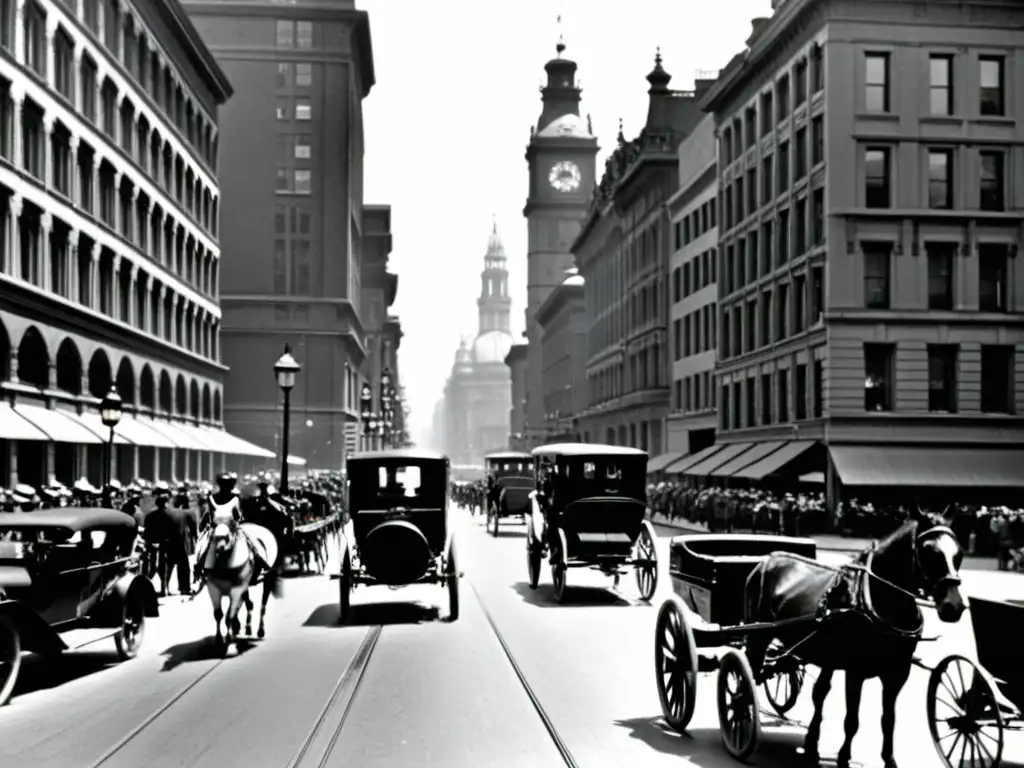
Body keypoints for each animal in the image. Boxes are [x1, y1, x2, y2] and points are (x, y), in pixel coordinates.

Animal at [202, 495, 280, 651]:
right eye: (213, 523)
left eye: (232, 522)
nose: (220, 544)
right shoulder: (213, 588)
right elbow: (219, 614)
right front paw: (219, 638)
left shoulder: (237, 589)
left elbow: (229, 615)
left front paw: (229, 639)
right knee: (249, 604)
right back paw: (246, 627)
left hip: (268, 577)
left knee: (262, 604)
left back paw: (259, 630)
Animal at [741, 512, 962, 768]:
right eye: (929, 551)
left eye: (958, 552)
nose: (954, 606)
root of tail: (766, 559)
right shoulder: (855, 672)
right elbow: (852, 720)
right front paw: (844, 757)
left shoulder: (897, 674)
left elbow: (888, 720)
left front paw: (889, 759)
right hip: (758, 636)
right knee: (749, 675)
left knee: (819, 691)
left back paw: (811, 742)